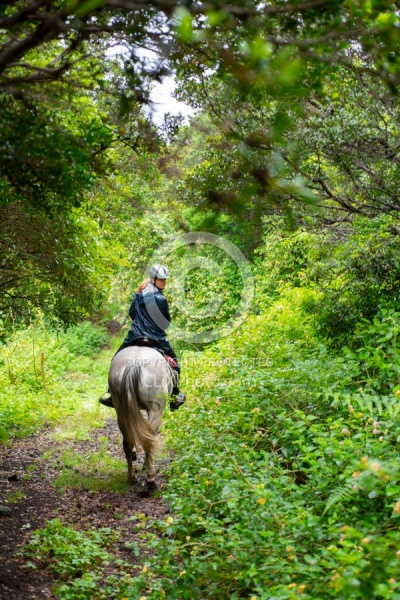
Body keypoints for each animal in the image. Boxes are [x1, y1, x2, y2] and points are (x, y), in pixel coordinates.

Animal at [108, 346, 173, 488]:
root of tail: (134, 363)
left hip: (120, 409)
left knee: (128, 440)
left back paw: (131, 477)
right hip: (155, 410)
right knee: (148, 440)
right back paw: (150, 477)